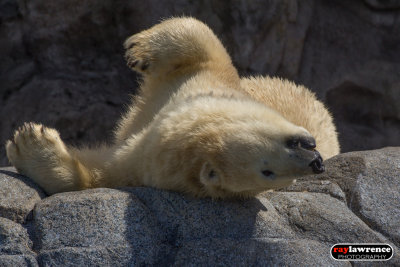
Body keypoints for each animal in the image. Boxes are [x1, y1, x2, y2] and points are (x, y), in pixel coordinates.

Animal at [4, 17, 340, 199]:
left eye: (268, 174)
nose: (317, 162)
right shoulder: (208, 83)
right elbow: (203, 43)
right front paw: (138, 50)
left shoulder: (137, 167)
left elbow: (89, 177)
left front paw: (29, 141)